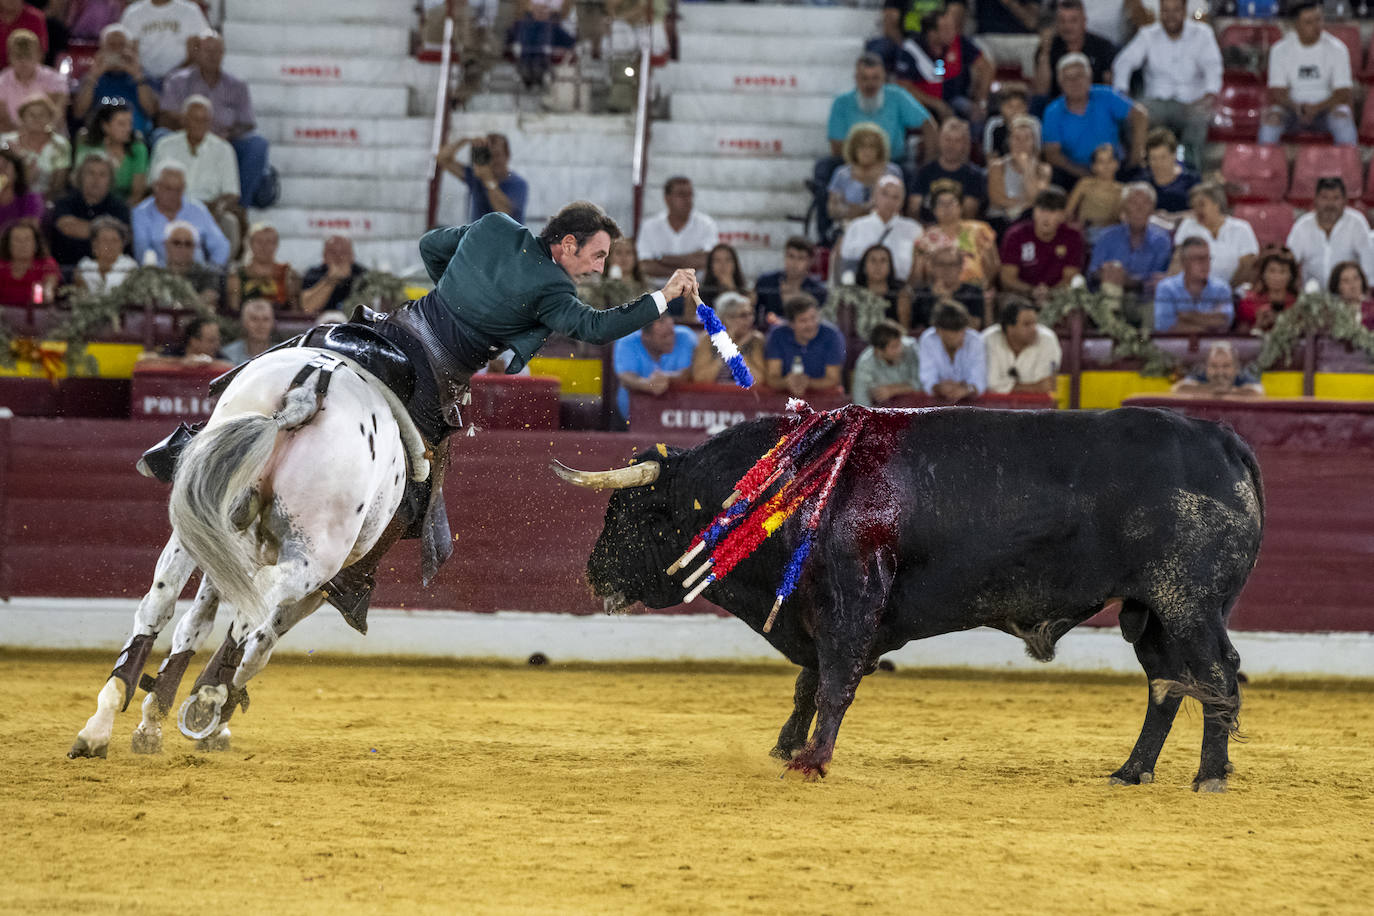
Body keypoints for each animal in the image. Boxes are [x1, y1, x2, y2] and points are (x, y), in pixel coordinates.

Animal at [71, 322, 456, 758]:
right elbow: (258, 646)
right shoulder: (316, 588)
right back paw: (206, 701)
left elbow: (196, 622)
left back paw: (101, 723)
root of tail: (307, 394)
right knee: (253, 615)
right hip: (311, 562)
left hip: (195, 526)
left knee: (159, 603)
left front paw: (154, 719)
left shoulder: (227, 547)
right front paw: (205, 714)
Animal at [560, 403, 1264, 791]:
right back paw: (1132, 771)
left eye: (638, 511)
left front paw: (811, 762)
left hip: (1188, 603)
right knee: (1167, 684)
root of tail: (1224, 439)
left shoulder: (852, 601)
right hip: (1151, 614)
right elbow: (808, 684)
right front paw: (787, 747)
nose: (593, 575)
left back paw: (1210, 776)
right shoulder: (815, 610)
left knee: (1217, 674)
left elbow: (835, 681)